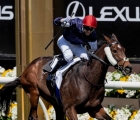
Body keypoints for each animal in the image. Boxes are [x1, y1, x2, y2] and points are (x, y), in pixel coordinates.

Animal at [0, 33, 132, 119]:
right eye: (114, 50)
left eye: (124, 49)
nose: (129, 68)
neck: (89, 80)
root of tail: (27, 68)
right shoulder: (70, 108)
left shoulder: (94, 109)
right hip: (33, 92)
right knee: (33, 116)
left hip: (55, 103)